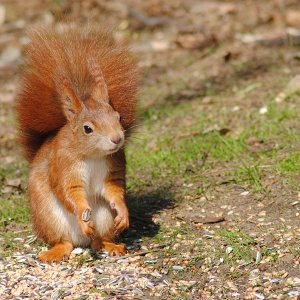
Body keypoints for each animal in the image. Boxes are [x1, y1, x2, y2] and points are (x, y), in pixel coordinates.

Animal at [16, 27, 138, 262]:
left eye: (118, 116)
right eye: (87, 129)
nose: (117, 139)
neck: (92, 155)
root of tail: (81, 241)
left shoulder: (114, 164)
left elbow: (114, 188)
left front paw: (123, 211)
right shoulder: (63, 166)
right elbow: (69, 192)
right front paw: (82, 215)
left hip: (104, 218)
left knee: (98, 240)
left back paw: (110, 245)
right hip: (50, 217)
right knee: (64, 241)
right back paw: (56, 251)